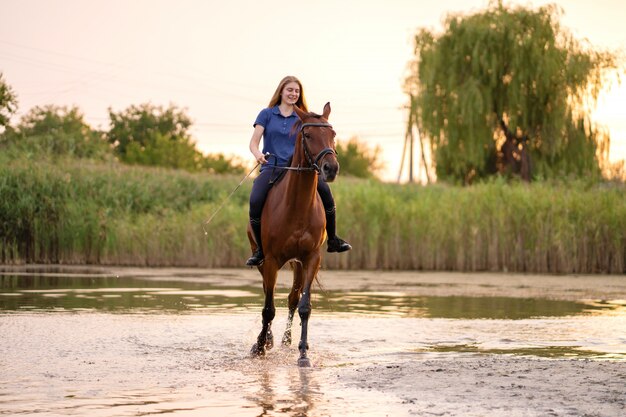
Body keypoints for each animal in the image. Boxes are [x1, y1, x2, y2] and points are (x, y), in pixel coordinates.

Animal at [247, 102, 336, 366]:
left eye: (333, 134)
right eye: (308, 135)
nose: (331, 168)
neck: (297, 206)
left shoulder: (311, 258)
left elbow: (304, 306)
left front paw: (304, 353)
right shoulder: (271, 261)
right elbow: (268, 308)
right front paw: (259, 347)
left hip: (297, 264)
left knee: (292, 299)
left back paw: (286, 341)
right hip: (261, 260)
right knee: (268, 296)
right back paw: (267, 339)